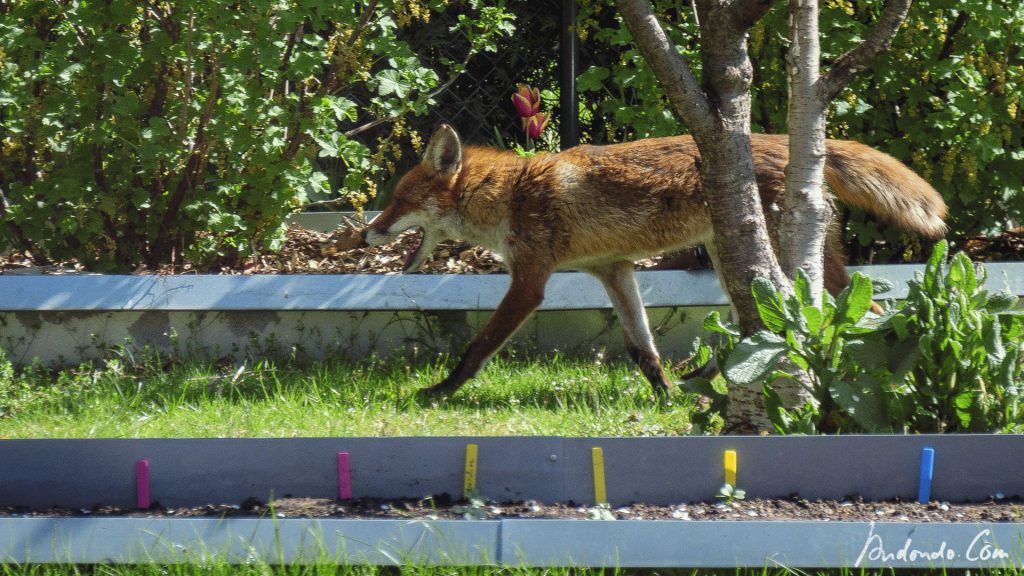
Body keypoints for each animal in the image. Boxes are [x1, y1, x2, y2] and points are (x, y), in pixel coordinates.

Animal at [358, 123, 942, 397]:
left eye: (399, 201)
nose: (366, 234)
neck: (510, 194)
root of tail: (788, 141)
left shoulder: (529, 281)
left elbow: (477, 348)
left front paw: (438, 392)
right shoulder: (613, 269)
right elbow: (643, 349)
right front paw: (664, 394)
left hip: (759, 261)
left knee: (854, 315)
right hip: (746, 259)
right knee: (767, 326)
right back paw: (703, 380)